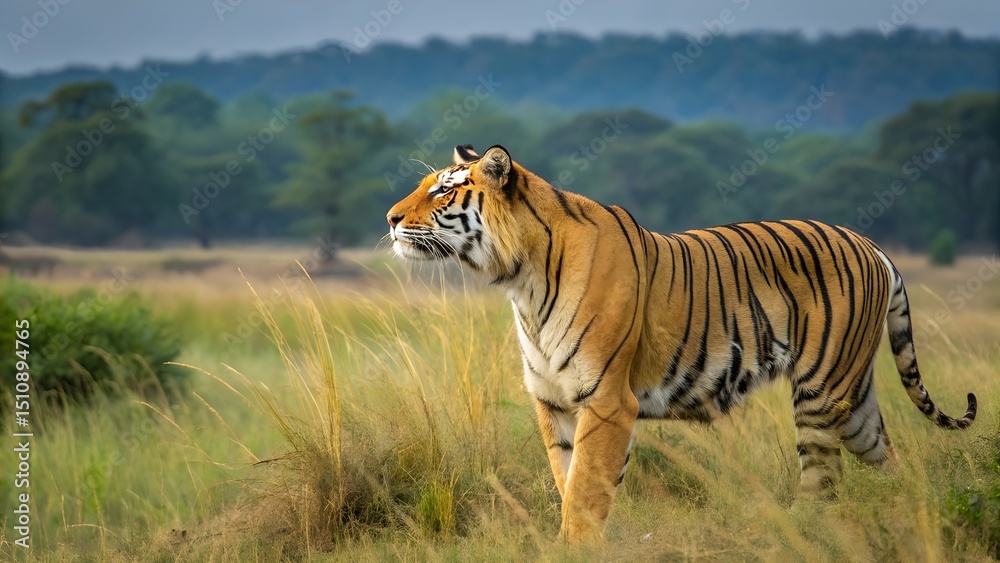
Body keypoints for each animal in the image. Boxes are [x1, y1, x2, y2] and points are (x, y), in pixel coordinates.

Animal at [385, 143, 977, 542]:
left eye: (443, 189)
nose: (389, 219)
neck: (521, 281)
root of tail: (873, 245)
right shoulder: (553, 402)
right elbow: (569, 480)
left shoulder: (607, 400)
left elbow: (584, 492)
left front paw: (573, 546)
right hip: (854, 404)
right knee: (891, 462)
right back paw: (902, 514)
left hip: (822, 392)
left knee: (822, 480)